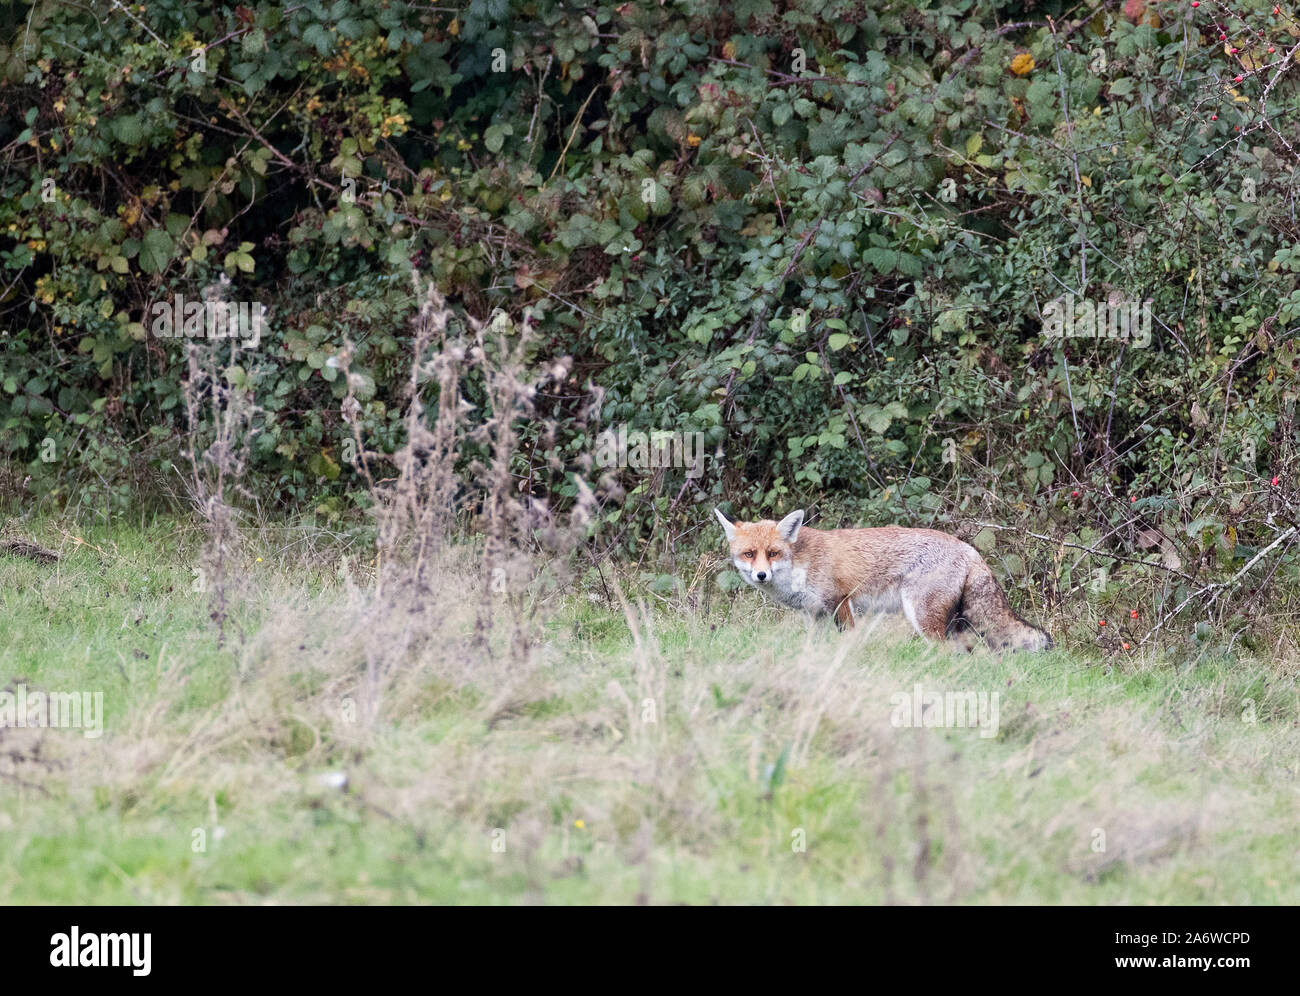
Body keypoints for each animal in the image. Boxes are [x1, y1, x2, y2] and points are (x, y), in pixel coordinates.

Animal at [717, 509, 1050, 650]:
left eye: (773, 553)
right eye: (749, 554)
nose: (761, 575)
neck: (801, 563)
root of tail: (969, 549)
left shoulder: (842, 601)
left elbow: (848, 639)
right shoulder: (813, 614)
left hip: (923, 617)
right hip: (954, 624)